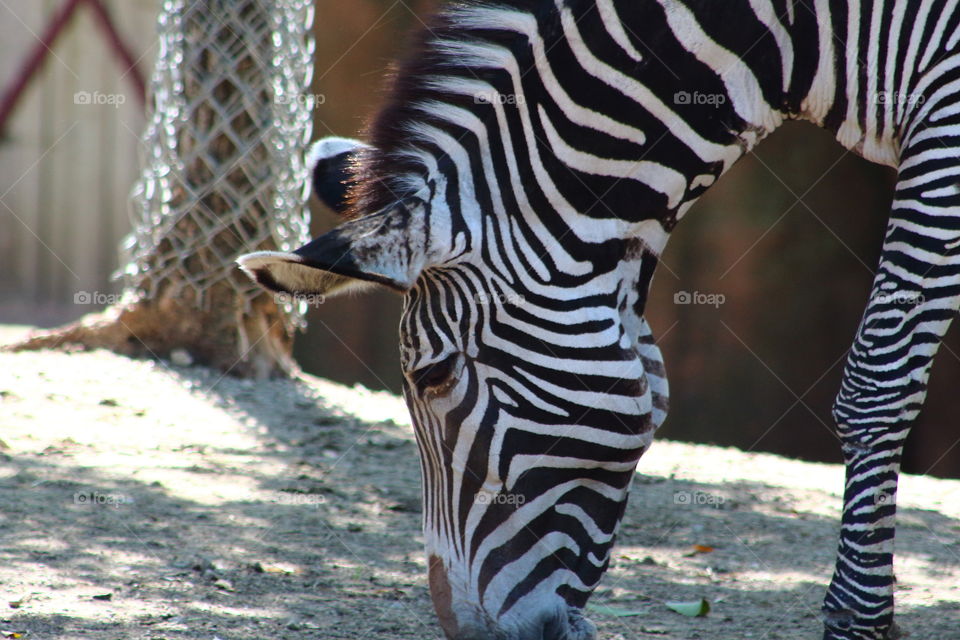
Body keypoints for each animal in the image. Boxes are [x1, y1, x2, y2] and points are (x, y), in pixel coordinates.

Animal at [238, 1, 960, 638]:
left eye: (433, 377)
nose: (466, 632)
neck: (800, 28)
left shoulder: (944, 117)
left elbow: (875, 386)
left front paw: (857, 618)